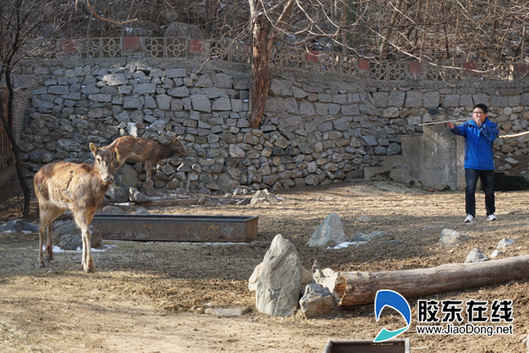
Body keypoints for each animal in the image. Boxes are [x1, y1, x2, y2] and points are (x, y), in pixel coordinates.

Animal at [33, 142, 115, 270]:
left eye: (112, 158)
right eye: (98, 159)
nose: (108, 178)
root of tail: (36, 175)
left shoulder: (91, 211)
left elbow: (83, 233)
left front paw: (83, 263)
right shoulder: (79, 209)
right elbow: (87, 233)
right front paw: (89, 265)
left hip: (57, 207)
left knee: (49, 224)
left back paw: (49, 255)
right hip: (43, 202)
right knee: (40, 227)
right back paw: (41, 261)